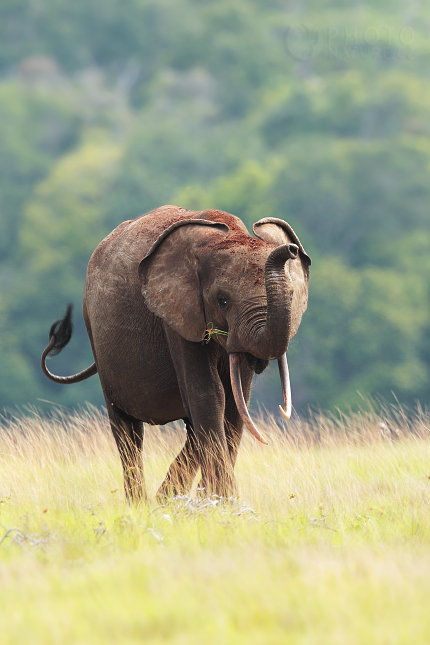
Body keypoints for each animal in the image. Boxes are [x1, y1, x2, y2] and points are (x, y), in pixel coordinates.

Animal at [42, 204, 310, 500]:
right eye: (222, 300)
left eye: (292, 294)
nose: (290, 249)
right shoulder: (176, 314)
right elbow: (210, 396)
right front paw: (225, 502)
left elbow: (234, 402)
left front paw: (213, 502)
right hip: (94, 330)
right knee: (127, 430)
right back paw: (143, 505)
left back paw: (167, 498)